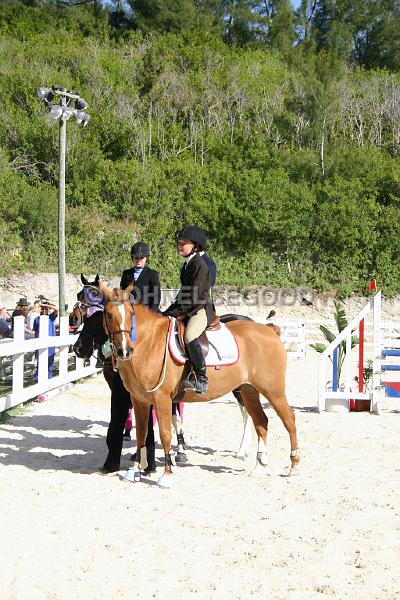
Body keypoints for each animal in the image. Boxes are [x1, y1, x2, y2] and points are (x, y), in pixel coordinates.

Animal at [98, 282, 300, 488]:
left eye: (131, 313)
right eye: (108, 314)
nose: (124, 350)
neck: (149, 342)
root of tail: (269, 330)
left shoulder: (162, 399)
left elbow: (165, 434)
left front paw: (167, 474)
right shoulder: (140, 400)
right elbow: (141, 433)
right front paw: (135, 471)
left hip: (273, 390)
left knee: (289, 419)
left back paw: (294, 465)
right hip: (248, 390)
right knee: (261, 422)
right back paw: (259, 466)